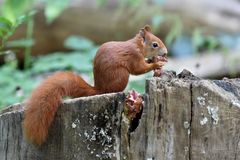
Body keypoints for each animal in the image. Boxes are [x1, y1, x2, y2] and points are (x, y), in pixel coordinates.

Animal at [23, 24, 168, 145]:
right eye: (155, 44)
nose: (166, 52)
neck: (138, 46)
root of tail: (99, 90)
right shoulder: (134, 56)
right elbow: (139, 69)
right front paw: (157, 63)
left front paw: (155, 61)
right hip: (122, 75)